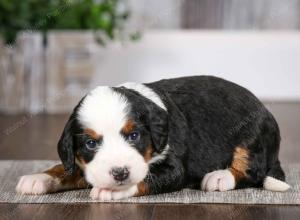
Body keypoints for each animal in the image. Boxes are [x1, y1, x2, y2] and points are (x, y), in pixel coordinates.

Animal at [15, 75, 290, 199]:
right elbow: (67, 168)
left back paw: (219, 177)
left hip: (252, 134)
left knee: (252, 170)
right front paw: (39, 177)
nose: (119, 173)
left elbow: (147, 178)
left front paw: (113, 190)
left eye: (134, 136)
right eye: (91, 143)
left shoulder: (174, 168)